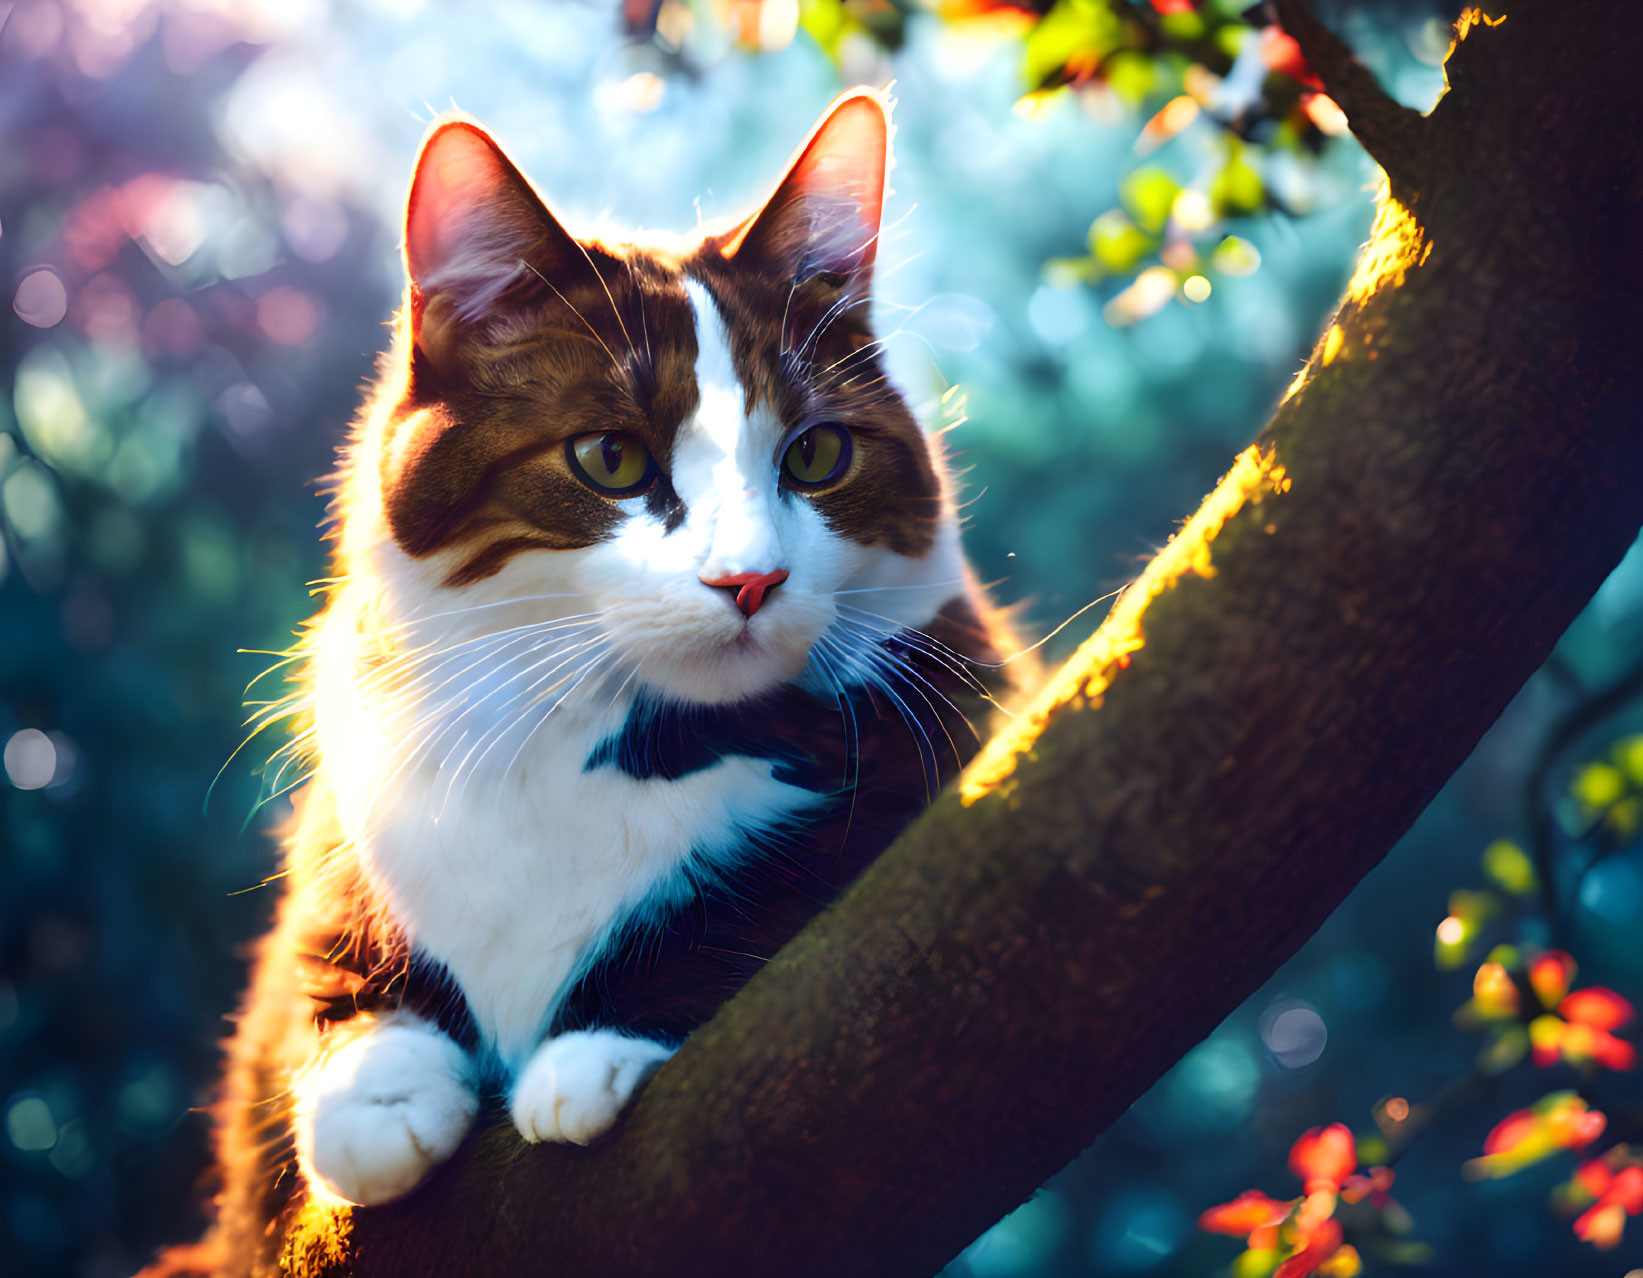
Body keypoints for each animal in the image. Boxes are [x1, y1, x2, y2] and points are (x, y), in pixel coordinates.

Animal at [183, 89, 1025, 1274]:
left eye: (816, 456)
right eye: (610, 460)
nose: (751, 578)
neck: (587, 730)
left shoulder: (952, 721)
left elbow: (785, 875)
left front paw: (593, 1044)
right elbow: (324, 945)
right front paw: (374, 1094)